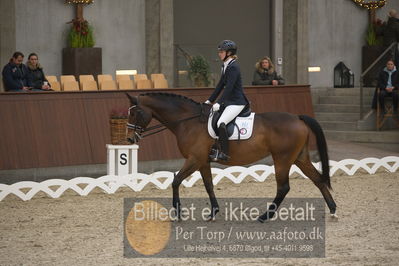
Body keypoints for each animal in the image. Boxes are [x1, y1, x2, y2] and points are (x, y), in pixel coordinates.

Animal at [126, 92, 338, 221]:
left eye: (135, 113)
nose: (129, 138)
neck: (189, 122)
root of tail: (297, 117)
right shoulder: (202, 162)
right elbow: (209, 186)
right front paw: (213, 212)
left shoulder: (194, 159)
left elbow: (176, 180)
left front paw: (179, 212)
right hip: (299, 158)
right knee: (318, 179)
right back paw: (333, 210)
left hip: (282, 159)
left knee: (283, 187)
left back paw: (264, 216)